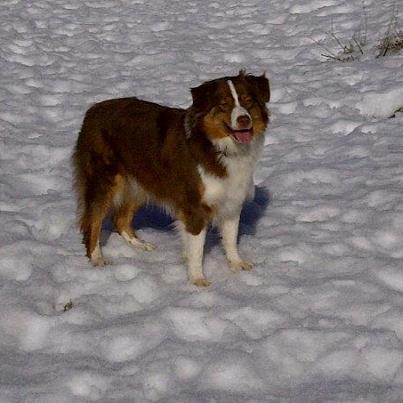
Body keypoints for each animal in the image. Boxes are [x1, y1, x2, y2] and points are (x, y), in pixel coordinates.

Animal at [72, 72, 272, 288]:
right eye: (224, 104)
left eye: (248, 101)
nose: (244, 119)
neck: (217, 146)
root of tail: (93, 110)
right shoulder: (195, 206)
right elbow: (197, 248)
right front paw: (197, 278)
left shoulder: (232, 200)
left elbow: (230, 237)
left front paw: (236, 263)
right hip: (104, 181)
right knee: (93, 221)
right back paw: (97, 258)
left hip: (141, 181)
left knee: (120, 220)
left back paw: (140, 245)